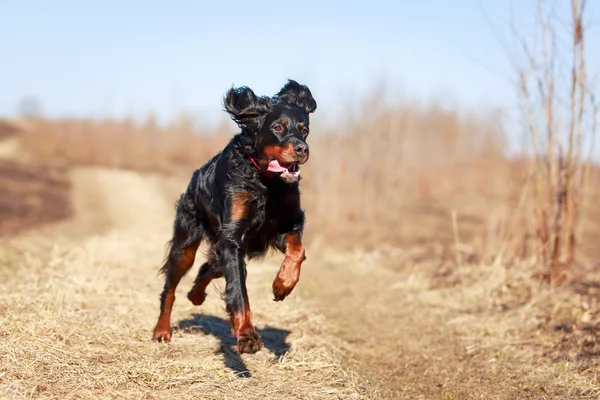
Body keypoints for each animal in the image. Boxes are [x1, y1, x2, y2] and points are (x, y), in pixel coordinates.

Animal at [152, 78, 316, 354]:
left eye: (304, 130)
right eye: (277, 127)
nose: (302, 149)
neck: (265, 183)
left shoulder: (283, 226)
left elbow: (298, 250)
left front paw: (282, 284)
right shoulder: (233, 237)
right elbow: (238, 291)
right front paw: (247, 335)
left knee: (209, 267)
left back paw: (196, 295)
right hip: (185, 245)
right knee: (170, 289)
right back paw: (162, 330)